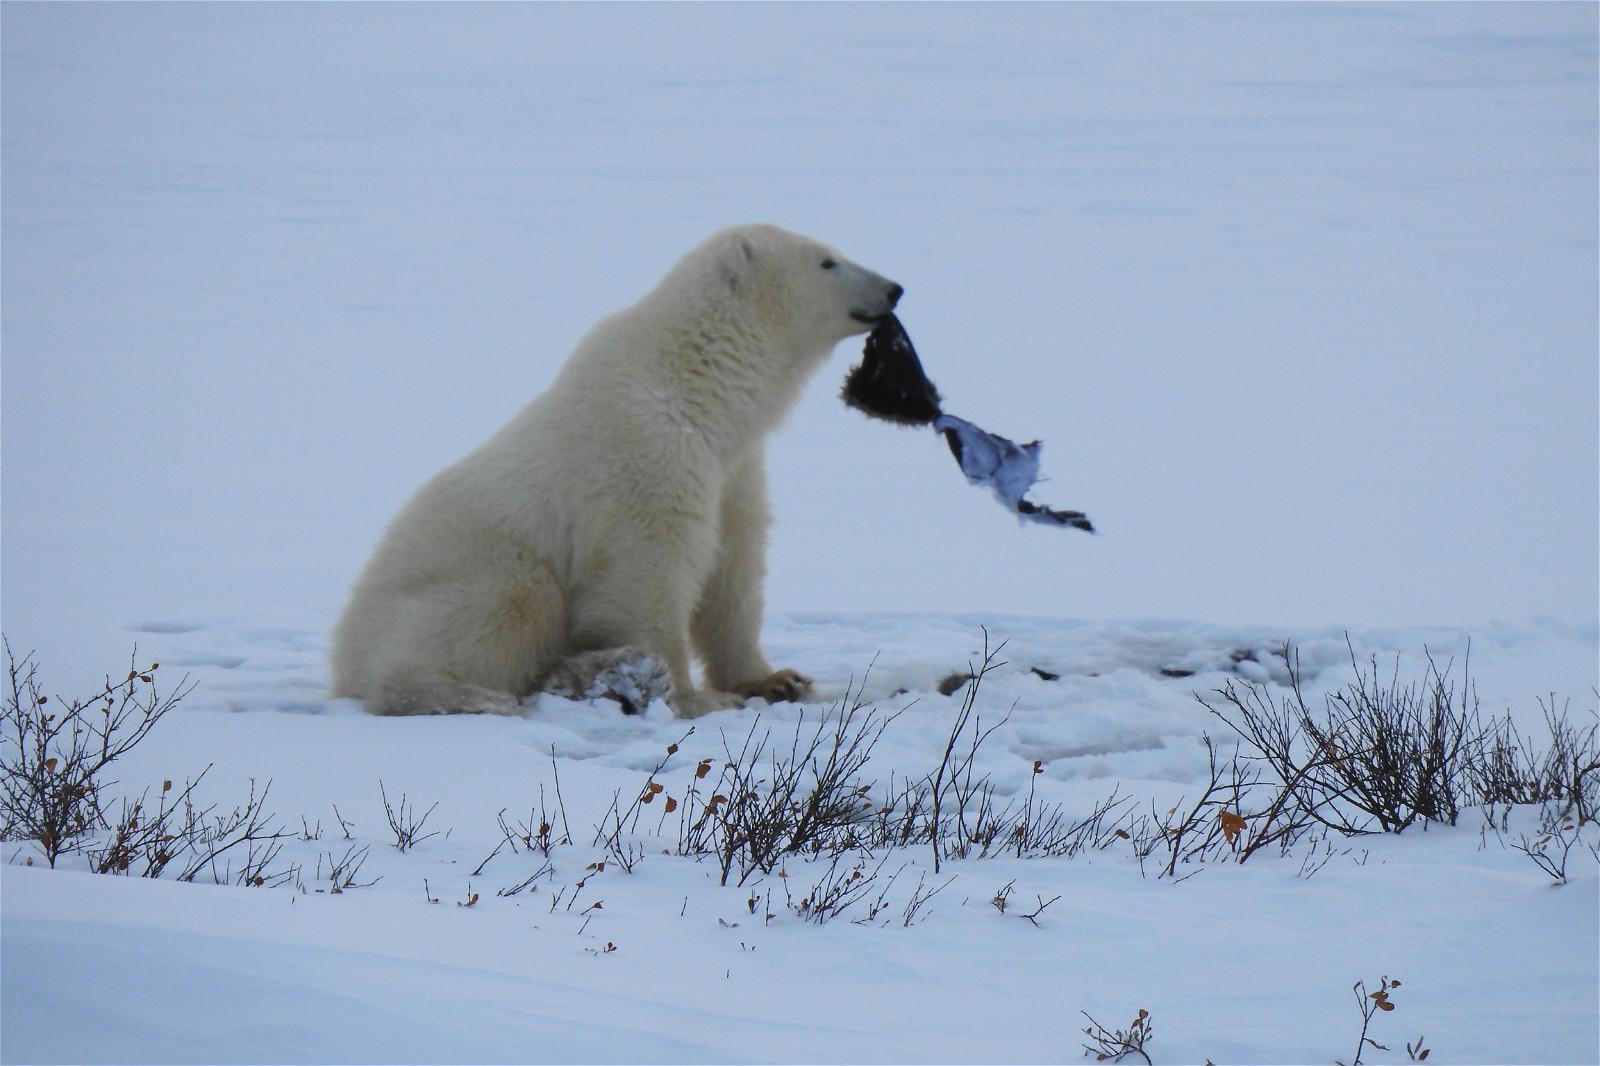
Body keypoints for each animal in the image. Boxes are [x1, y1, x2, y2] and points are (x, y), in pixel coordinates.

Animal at [328, 222, 902, 713]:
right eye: (827, 261)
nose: (894, 289)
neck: (700, 386)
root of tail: (342, 657)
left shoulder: (733, 467)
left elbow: (734, 568)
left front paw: (774, 679)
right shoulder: (646, 450)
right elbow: (646, 571)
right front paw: (691, 696)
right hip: (458, 569)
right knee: (511, 601)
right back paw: (471, 695)